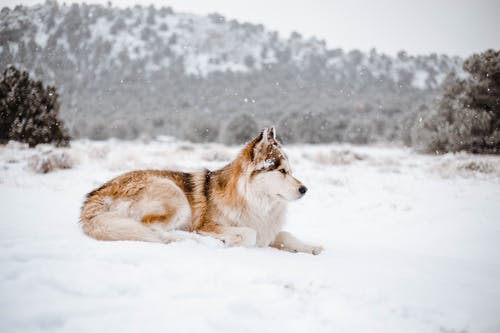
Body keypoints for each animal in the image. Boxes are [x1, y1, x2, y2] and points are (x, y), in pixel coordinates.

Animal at [81, 127, 324, 254]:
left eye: (291, 171)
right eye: (282, 171)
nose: (304, 189)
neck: (255, 202)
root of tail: (96, 194)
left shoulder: (268, 231)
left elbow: (285, 235)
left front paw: (312, 248)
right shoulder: (210, 225)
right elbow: (248, 234)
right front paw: (227, 241)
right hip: (174, 195)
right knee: (152, 229)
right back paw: (192, 240)